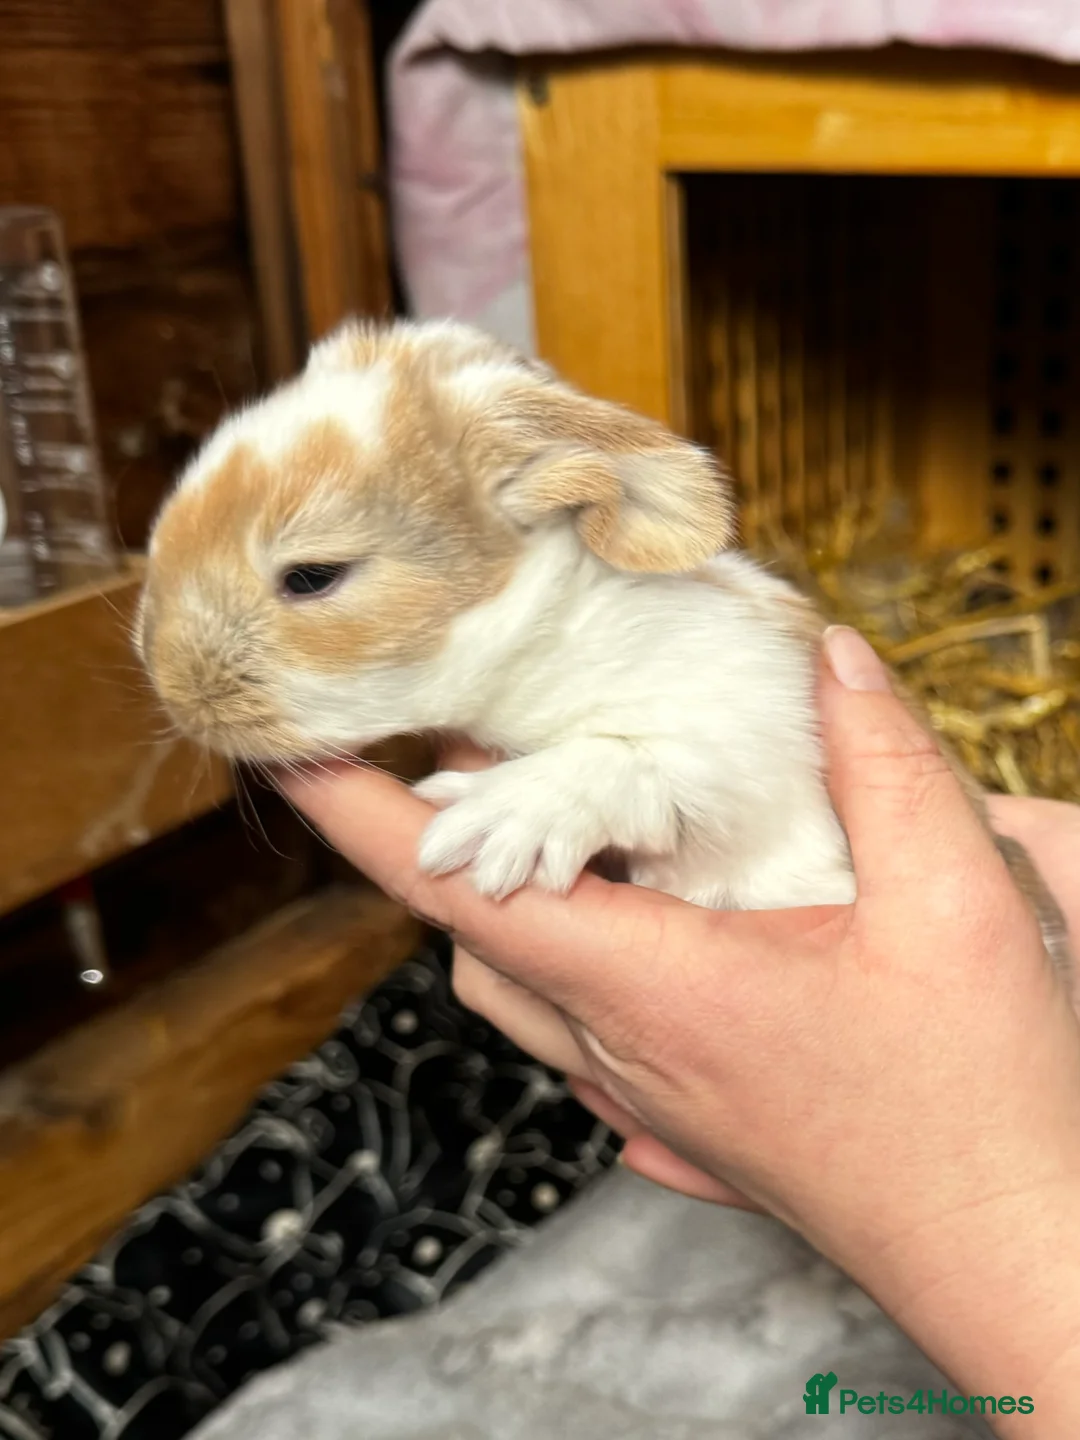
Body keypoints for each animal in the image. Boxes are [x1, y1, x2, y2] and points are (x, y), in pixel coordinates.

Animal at [137, 318, 1071, 975]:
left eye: (312, 576)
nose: (170, 684)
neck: (551, 632)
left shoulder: (747, 736)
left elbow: (635, 760)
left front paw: (497, 818)